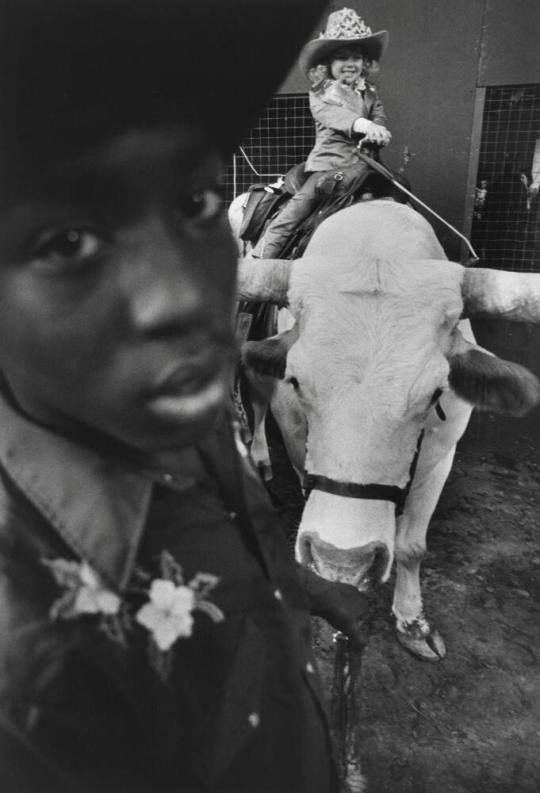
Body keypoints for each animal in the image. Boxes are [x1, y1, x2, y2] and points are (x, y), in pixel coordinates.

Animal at [237, 201, 540, 660]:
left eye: (434, 392)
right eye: (296, 381)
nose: (344, 560)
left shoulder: (440, 451)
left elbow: (413, 546)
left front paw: (412, 620)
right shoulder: (293, 431)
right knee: (254, 406)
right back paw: (257, 459)